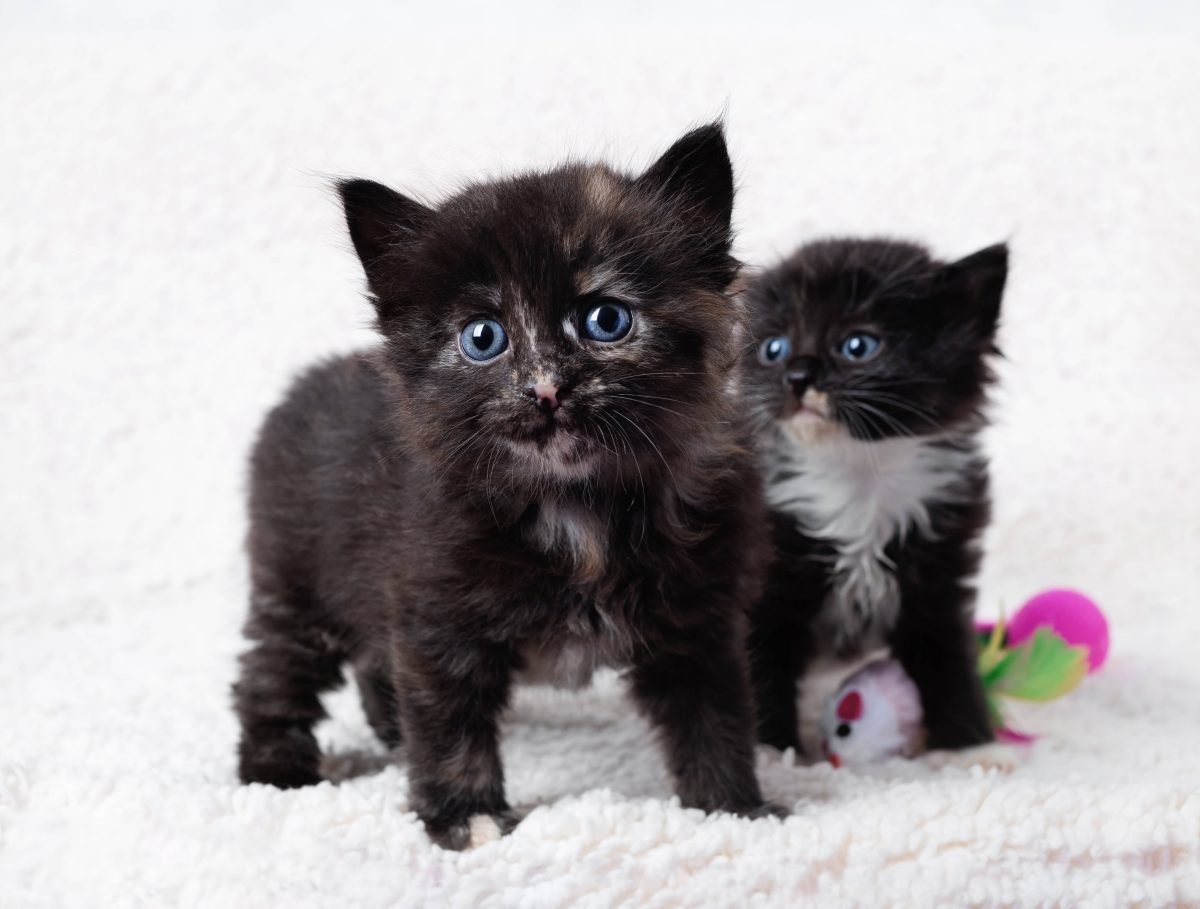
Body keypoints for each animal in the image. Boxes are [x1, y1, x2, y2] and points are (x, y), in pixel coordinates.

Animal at [231, 124, 777, 849]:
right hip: (295, 585)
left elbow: (714, 718)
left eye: (606, 320)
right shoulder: (437, 616)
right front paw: (468, 817)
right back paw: (276, 771)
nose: (545, 389)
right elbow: (450, 726)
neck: (576, 507)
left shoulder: (698, 620)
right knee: (270, 672)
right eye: (484, 337)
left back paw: (389, 735)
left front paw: (734, 810)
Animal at [744, 238, 1008, 757]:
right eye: (773, 348)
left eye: (857, 346)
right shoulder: (769, 581)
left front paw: (967, 745)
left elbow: (948, 661)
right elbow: (762, 662)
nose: (797, 375)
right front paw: (775, 749)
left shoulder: (939, 573)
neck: (859, 475)